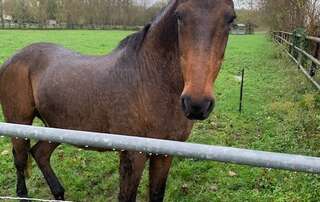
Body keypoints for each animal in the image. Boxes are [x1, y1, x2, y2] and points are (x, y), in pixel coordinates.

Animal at [0, 0, 235, 201]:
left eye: (230, 19)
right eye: (179, 16)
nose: (196, 103)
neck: (149, 80)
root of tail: (13, 59)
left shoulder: (165, 154)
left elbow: (156, 194)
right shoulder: (133, 156)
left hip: (58, 127)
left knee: (39, 153)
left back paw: (59, 193)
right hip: (20, 124)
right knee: (20, 160)